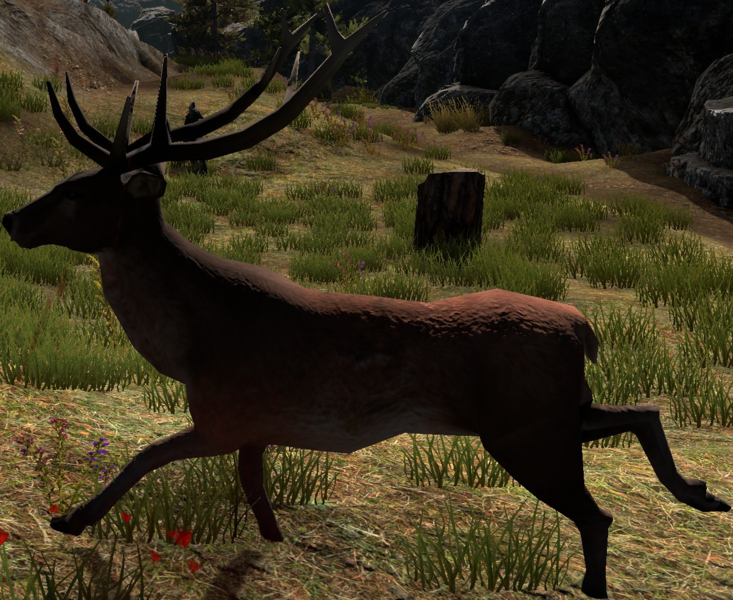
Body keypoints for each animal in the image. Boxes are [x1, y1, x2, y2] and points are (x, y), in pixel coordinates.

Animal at [1, 6, 729, 599]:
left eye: (77, 193)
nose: (12, 219)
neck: (190, 343)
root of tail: (582, 326)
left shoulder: (226, 415)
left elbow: (145, 457)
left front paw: (70, 518)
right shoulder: (254, 429)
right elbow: (255, 492)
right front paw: (274, 542)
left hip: (523, 431)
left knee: (597, 510)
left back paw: (600, 581)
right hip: (550, 414)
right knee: (640, 411)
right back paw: (701, 495)